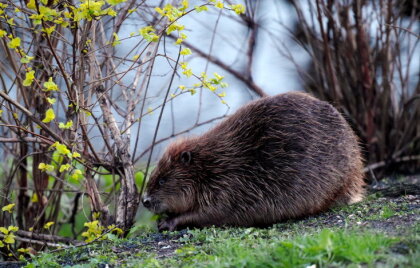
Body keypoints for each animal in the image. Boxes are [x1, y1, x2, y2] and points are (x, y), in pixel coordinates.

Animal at [141, 92, 364, 230]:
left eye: (162, 180)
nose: (145, 201)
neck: (212, 165)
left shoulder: (229, 187)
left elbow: (210, 213)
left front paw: (167, 223)